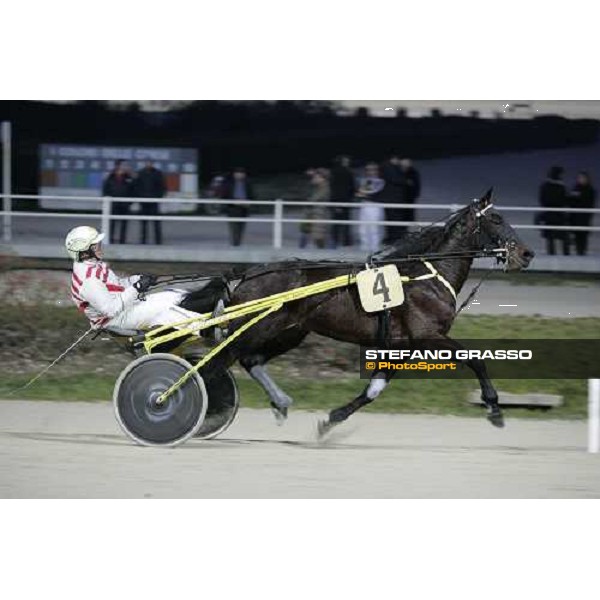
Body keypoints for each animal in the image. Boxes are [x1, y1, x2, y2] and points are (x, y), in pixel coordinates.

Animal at [180, 191, 532, 436]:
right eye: (496, 219)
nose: (527, 254)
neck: (427, 276)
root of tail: (249, 274)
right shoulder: (428, 335)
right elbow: (476, 359)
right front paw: (494, 408)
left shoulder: (401, 346)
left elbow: (373, 389)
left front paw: (331, 421)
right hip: (258, 327)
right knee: (216, 364)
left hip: (290, 332)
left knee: (250, 361)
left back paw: (280, 403)